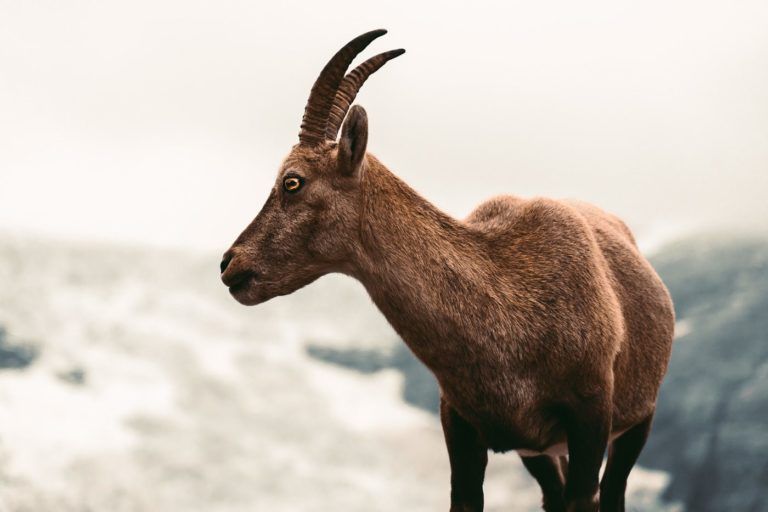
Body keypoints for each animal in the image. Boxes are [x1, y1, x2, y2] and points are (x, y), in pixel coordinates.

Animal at [220, 29, 675, 512]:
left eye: (292, 181)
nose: (230, 264)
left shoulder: (591, 415)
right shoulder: (461, 424)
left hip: (638, 420)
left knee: (612, 491)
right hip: (539, 452)